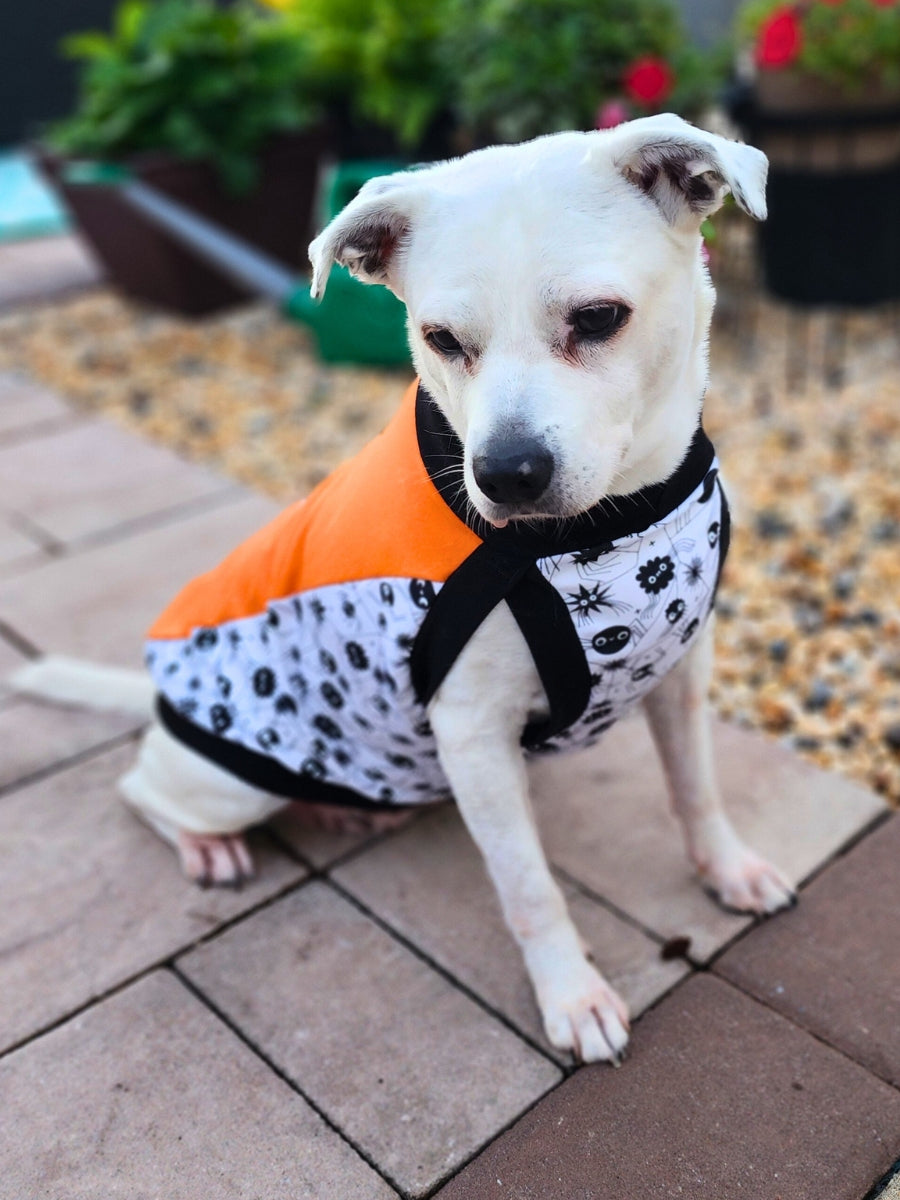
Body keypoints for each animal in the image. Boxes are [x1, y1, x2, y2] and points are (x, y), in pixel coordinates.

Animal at [14, 114, 792, 1060]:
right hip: (231, 776)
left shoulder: (680, 675)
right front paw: (571, 997)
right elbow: (529, 887)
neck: (612, 524)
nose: (506, 474)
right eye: (442, 339)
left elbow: (696, 790)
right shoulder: (472, 735)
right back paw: (206, 847)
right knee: (142, 791)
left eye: (600, 318)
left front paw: (728, 869)